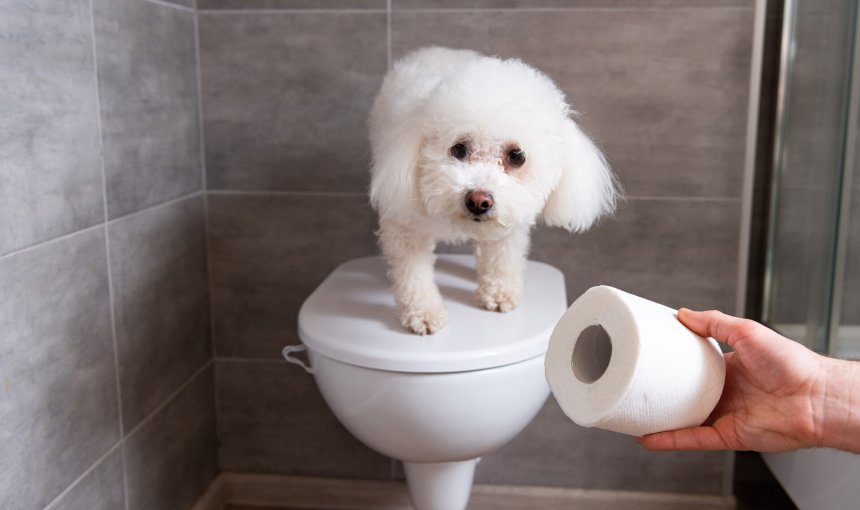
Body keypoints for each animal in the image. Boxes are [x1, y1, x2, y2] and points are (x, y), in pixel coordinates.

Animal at [370, 46, 620, 334]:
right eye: (458, 149)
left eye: (516, 156)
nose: (478, 201)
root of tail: (434, 50)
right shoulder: (405, 227)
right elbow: (413, 275)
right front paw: (423, 313)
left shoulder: (510, 225)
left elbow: (503, 257)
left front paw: (500, 293)